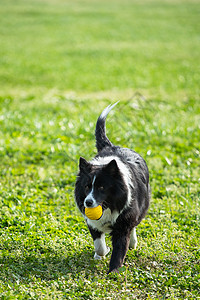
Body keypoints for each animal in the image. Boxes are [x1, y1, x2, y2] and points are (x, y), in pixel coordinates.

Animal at [75, 103, 150, 274]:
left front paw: (114, 272)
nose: (88, 203)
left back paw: (133, 242)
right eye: (87, 186)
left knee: (135, 225)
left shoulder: (124, 223)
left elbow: (120, 248)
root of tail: (112, 145)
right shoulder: (92, 222)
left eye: (102, 187)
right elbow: (99, 244)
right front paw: (101, 254)